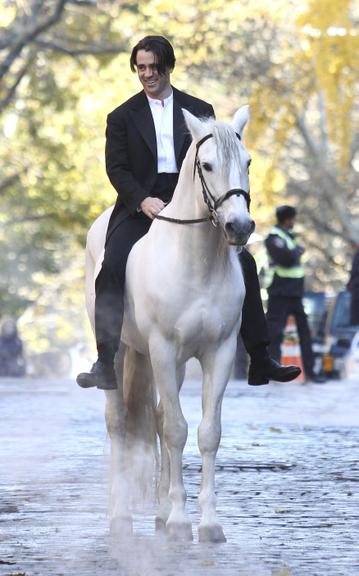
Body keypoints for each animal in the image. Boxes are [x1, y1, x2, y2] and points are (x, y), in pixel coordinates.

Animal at [86, 104, 256, 544]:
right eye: (207, 165)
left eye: (248, 162)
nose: (240, 227)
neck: (198, 261)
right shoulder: (162, 348)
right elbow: (178, 429)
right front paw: (182, 522)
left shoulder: (219, 352)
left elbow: (206, 432)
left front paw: (208, 523)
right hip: (122, 351)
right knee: (119, 422)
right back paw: (121, 515)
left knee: (160, 418)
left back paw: (161, 514)